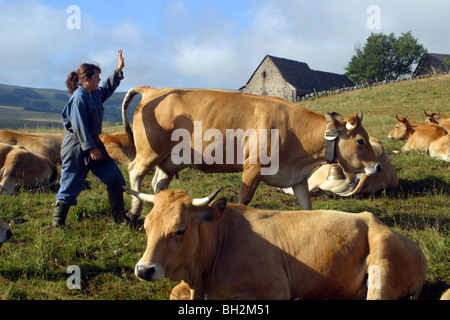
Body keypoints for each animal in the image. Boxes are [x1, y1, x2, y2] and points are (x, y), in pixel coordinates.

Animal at [121, 86, 382, 219]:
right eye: (361, 140)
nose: (377, 166)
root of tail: (154, 89)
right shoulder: (253, 167)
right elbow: (244, 199)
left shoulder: (297, 178)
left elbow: (306, 205)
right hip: (149, 152)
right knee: (135, 171)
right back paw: (134, 212)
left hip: (169, 159)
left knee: (158, 182)